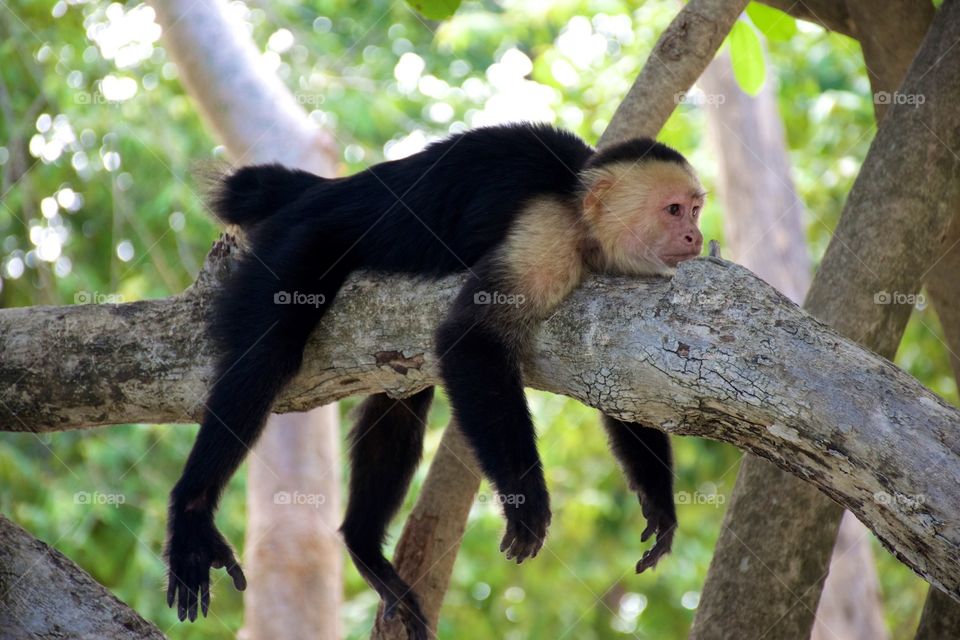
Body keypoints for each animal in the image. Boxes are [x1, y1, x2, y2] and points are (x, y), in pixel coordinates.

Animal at [165, 122, 704, 639]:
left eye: (696, 211)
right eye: (674, 210)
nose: (696, 238)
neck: (582, 216)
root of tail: (331, 189)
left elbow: (626, 387)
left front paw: (659, 500)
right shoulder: (546, 233)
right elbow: (469, 340)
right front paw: (526, 502)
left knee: (401, 398)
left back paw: (363, 543)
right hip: (303, 237)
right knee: (266, 354)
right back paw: (192, 510)